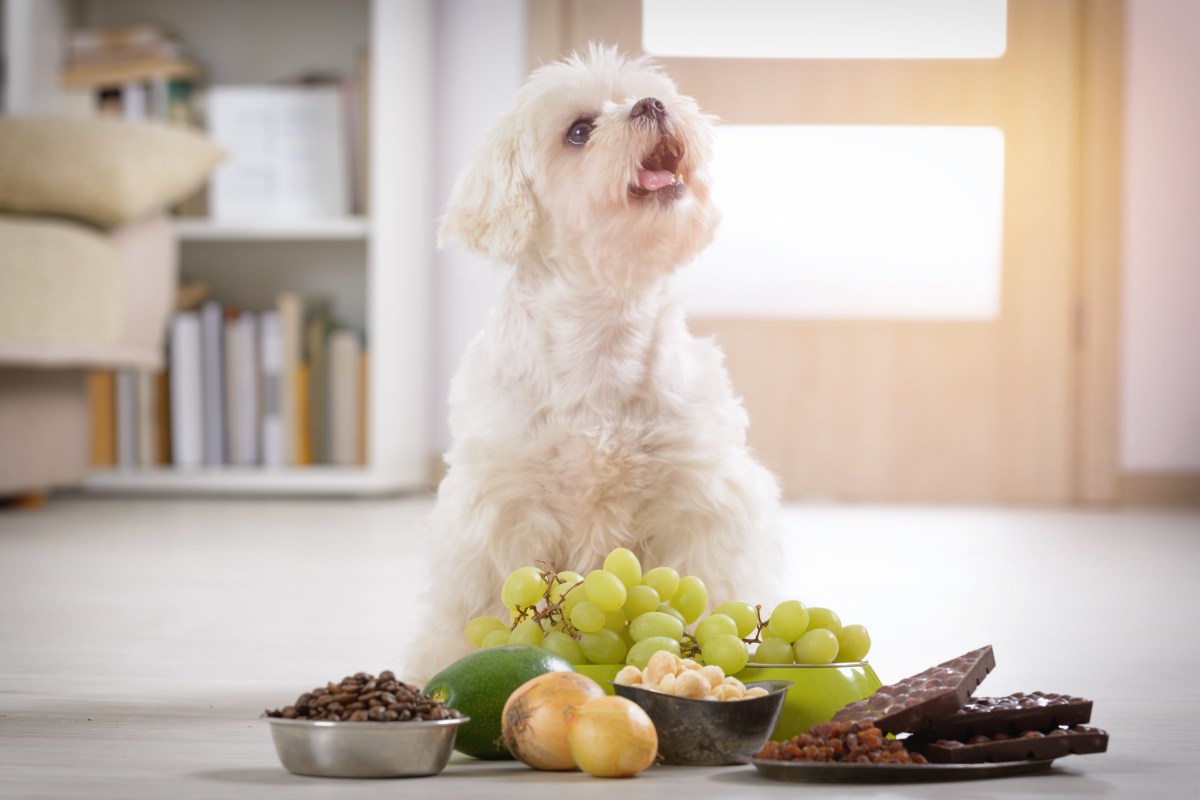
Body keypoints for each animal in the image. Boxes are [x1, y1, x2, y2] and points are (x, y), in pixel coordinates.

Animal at [410, 43, 787, 681]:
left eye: (643, 93)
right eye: (579, 131)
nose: (652, 104)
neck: (604, 333)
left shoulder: (700, 502)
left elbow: (708, 590)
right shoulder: (504, 514)